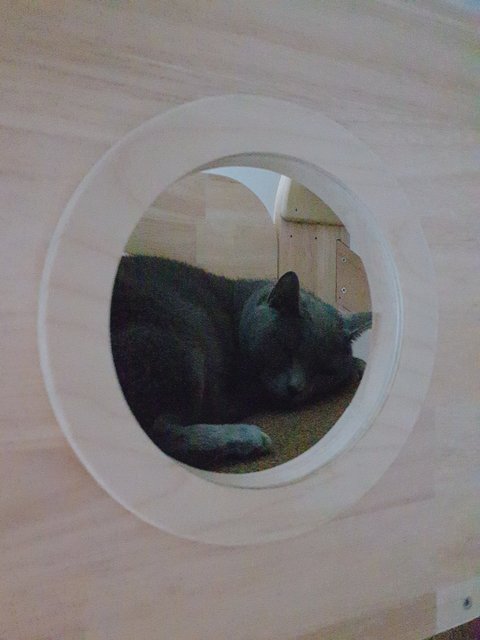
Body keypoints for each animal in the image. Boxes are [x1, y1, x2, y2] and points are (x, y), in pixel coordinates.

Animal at [110, 256, 371, 469]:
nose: (295, 388)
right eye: (287, 348)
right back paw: (248, 438)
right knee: (162, 435)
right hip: (183, 338)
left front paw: (359, 364)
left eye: (323, 371)